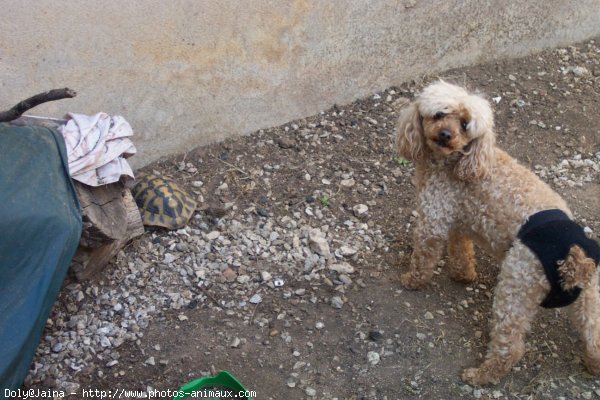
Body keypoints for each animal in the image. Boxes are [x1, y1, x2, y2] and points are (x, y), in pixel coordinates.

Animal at [396, 80, 596, 384]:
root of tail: (575, 262)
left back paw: (481, 374)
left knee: (509, 347)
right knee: (595, 341)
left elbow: (424, 256)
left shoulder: (434, 217)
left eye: (465, 125)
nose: (446, 135)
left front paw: (412, 280)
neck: (461, 160)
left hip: (516, 285)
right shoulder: (459, 222)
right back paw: (593, 367)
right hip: (590, 300)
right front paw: (463, 275)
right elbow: (461, 251)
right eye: (440, 114)